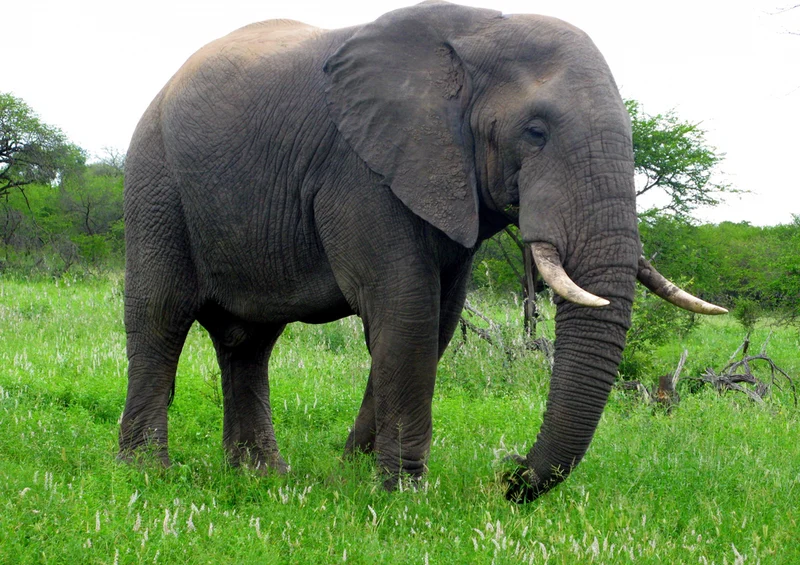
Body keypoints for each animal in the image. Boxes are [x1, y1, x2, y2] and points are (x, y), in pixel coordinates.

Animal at [119, 1, 726, 502]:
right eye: (535, 132)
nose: (508, 473)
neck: (477, 35)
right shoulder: (361, 169)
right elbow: (405, 308)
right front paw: (403, 496)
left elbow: (436, 323)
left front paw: (353, 475)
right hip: (155, 179)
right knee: (160, 316)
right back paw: (146, 474)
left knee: (249, 342)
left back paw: (262, 476)